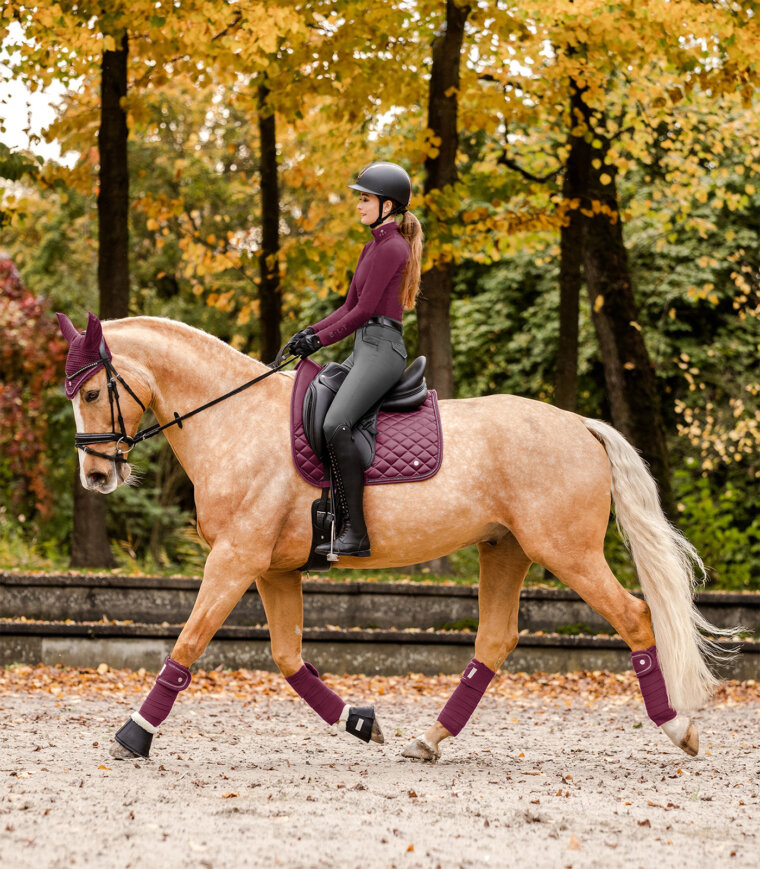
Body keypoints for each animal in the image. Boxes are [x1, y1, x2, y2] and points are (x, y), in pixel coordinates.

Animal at [58, 314, 724, 760]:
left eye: (91, 392)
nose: (96, 477)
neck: (233, 420)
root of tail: (581, 425)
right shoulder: (272, 568)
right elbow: (288, 658)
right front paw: (359, 720)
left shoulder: (236, 558)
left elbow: (189, 643)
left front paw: (133, 735)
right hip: (504, 550)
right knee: (495, 641)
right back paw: (428, 740)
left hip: (567, 552)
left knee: (635, 618)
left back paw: (679, 729)